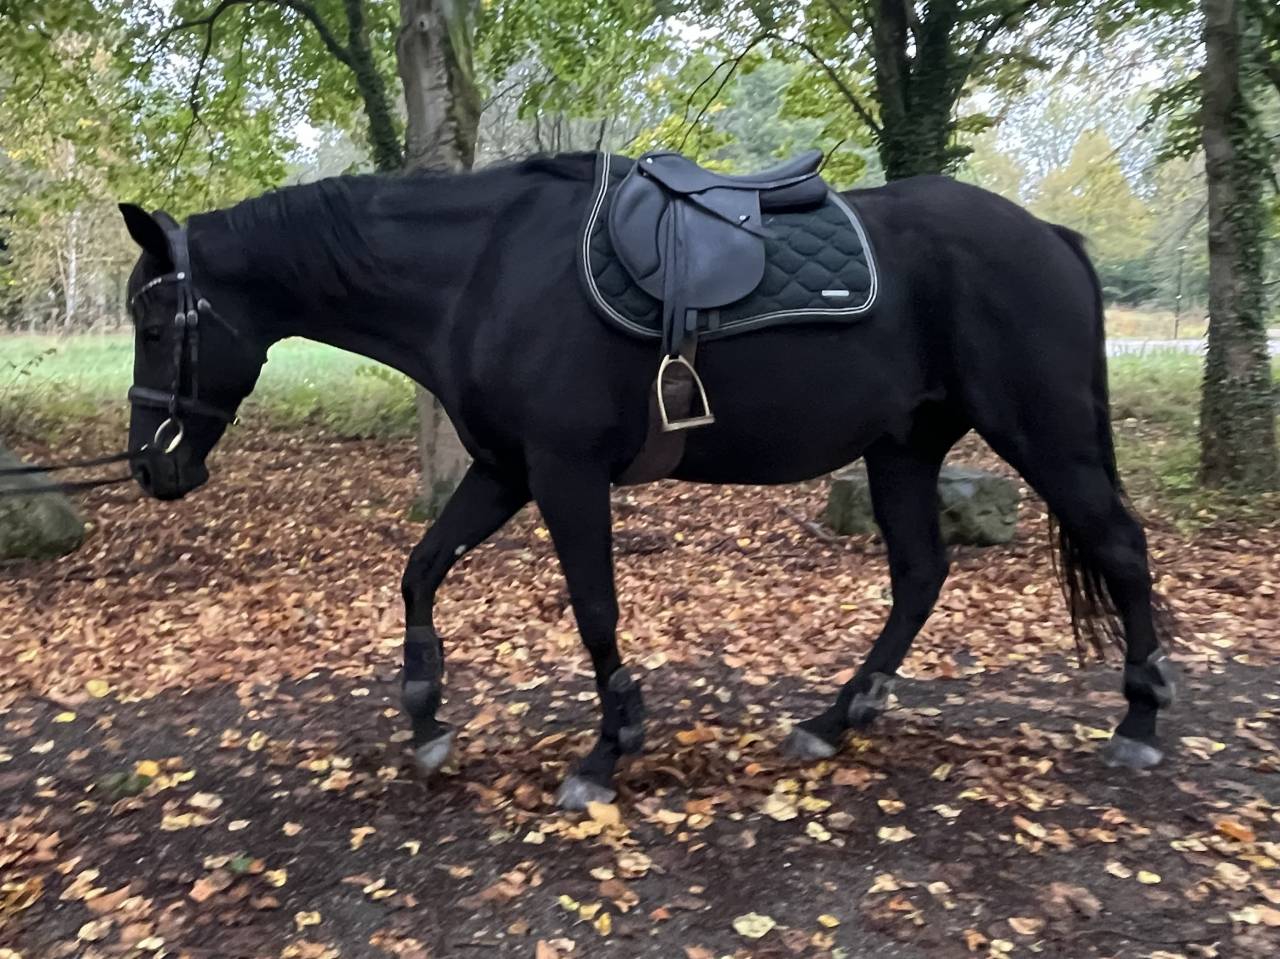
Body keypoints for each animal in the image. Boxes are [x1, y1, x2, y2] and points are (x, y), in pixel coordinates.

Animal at [117, 152, 1175, 810]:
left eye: (158, 322)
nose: (151, 465)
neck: (483, 272)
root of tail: (1049, 235)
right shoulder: (504, 470)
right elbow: (421, 570)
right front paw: (424, 713)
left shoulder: (564, 472)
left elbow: (594, 609)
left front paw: (606, 749)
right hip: (904, 448)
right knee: (920, 575)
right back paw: (835, 719)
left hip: (1042, 434)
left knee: (1119, 546)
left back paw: (1140, 716)